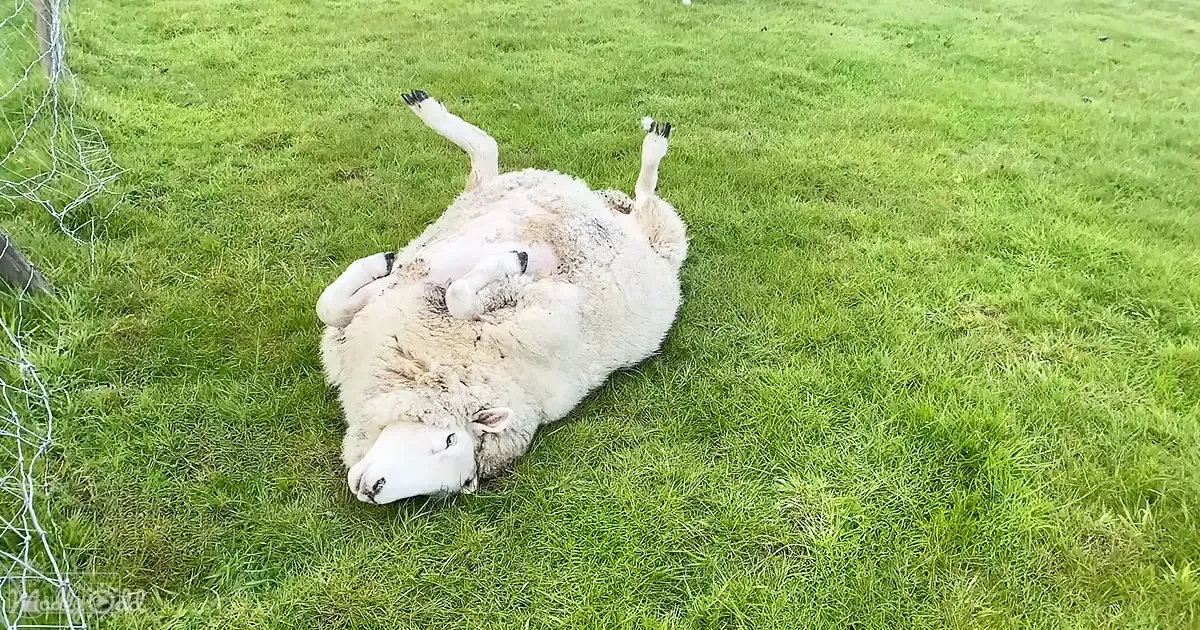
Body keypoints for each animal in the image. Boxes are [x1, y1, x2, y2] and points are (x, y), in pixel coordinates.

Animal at [317, 91, 688, 504]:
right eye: (448, 439)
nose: (373, 489)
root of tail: (606, 203)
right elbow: (331, 305)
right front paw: (378, 269)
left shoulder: (537, 306)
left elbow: (457, 296)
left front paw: (509, 261)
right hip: (479, 198)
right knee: (487, 157)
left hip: (660, 236)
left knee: (645, 196)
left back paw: (654, 146)